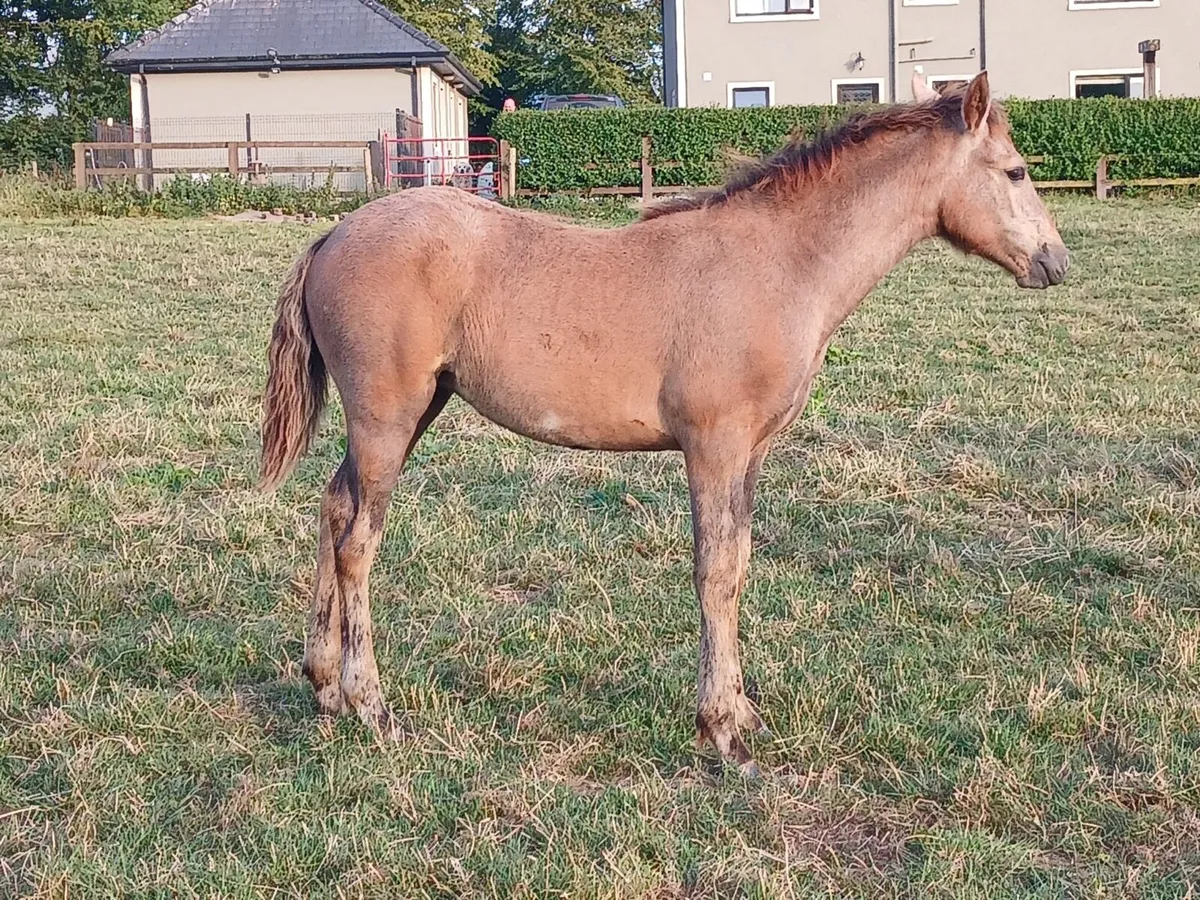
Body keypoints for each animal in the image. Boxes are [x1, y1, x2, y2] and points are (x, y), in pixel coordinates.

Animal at [257, 72, 1069, 775]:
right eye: (1017, 171)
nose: (1055, 262)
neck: (778, 262)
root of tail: (333, 234)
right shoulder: (713, 445)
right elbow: (715, 572)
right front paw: (722, 732)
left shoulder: (750, 453)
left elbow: (739, 563)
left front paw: (742, 714)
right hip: (387, 417)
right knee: (359, 543)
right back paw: (371, 705)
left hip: (410, 414)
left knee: (334, 508)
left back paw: (323, 684)